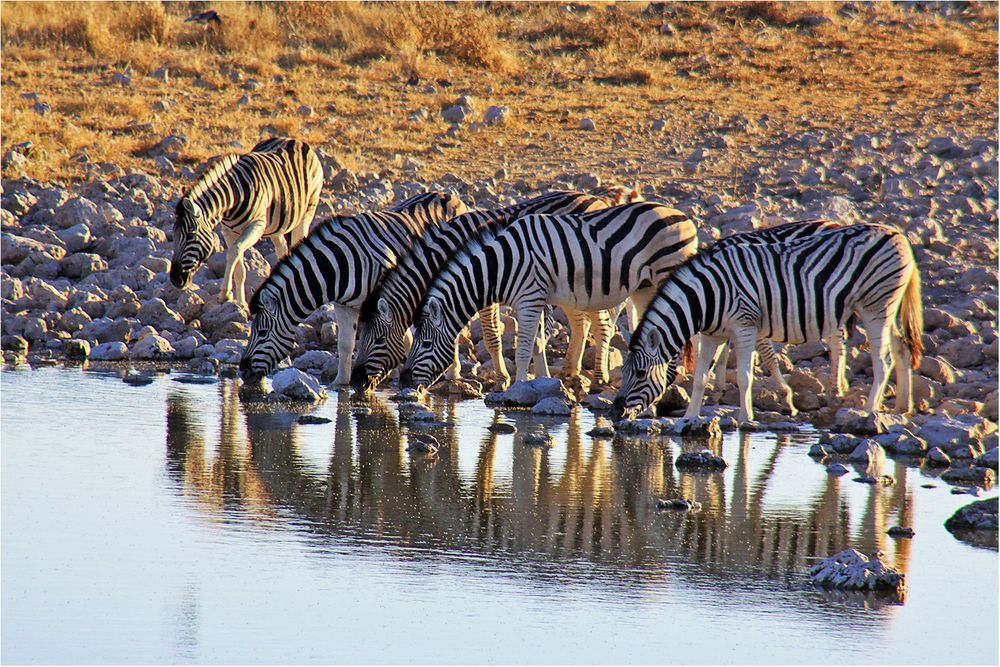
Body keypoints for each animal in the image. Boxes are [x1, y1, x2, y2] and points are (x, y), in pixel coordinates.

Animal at [169, 139, 320, 310]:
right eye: (174, 235)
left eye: (191, 234)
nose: (175, 279)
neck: (234, 196)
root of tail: (292, 140)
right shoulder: (229, 232)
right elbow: (239, 267)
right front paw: (241, 303)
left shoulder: (256, 226)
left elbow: (234, 252)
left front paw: (225, 294)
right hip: (276, 225)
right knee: (282, 248)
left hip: (308, 211)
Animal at [239, 190, 468, 388]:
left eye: (262, 332)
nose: (242, 372)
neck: (338, 267)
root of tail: (448, 195)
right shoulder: (344, 305)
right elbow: (345, 344)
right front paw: (341, 382)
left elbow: (401, 338)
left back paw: (453, 372)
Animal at [352, 189, 616, 392]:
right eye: (359, 336)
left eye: (378, 340)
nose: (355, 381)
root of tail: (597, 198)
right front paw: (454, 372)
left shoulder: (484, 288)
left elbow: (491, 336)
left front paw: (502, 378)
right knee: (581, 322)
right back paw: (570, 370)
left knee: (599, 322)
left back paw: (599, 376)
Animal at [402, 204, 700, 392]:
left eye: (426, 343)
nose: (403, 380)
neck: (501, 265)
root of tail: (685, 218)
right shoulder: (532, 300)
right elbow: (535, 342)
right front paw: (535, 382)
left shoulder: (530, 298)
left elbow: (523, 348)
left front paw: (517, 387)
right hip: (644, 287)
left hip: (668, 277)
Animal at [612, 224, 924, 422]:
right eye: (624, 371)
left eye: (640, 373)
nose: (615, 412)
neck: (707, 296)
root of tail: (898, 235)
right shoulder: (712, 334)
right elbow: (700, 378)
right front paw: (689, 417)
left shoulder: (745, 325)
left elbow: (744, 376)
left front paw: (745, 417)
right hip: (886, 308)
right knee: (901, 349)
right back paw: (901, 406)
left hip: (875, 306)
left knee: (882, 360)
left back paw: (870, 411)